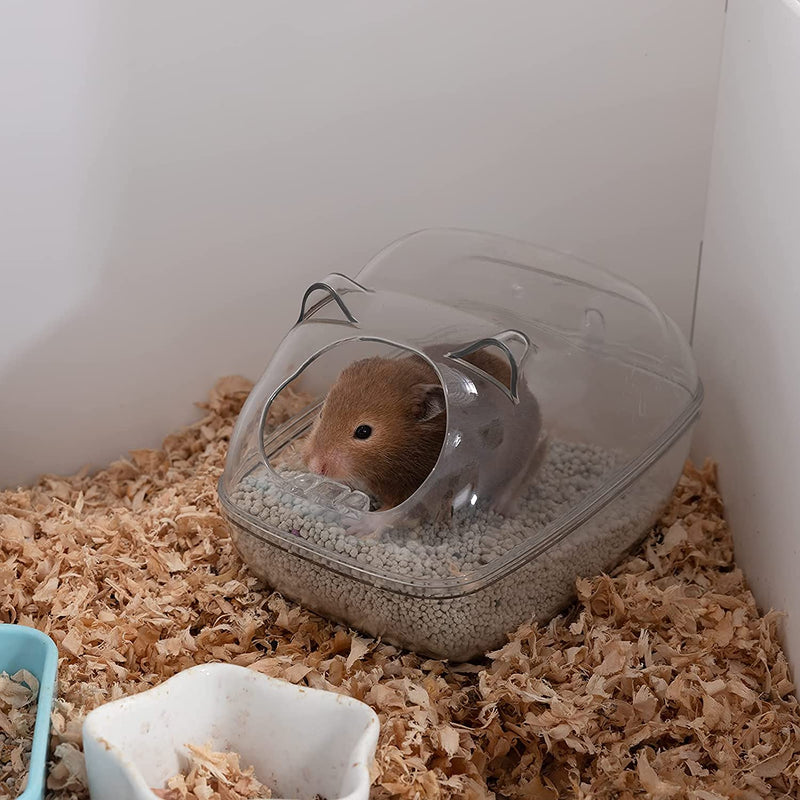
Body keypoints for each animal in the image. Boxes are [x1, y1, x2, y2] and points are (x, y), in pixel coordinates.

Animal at [302, 349, 528, 511]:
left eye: (363, 432)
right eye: (321, 414)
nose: (314, 467)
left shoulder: (410, 487)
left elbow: (389, 513)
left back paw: (501, 507)